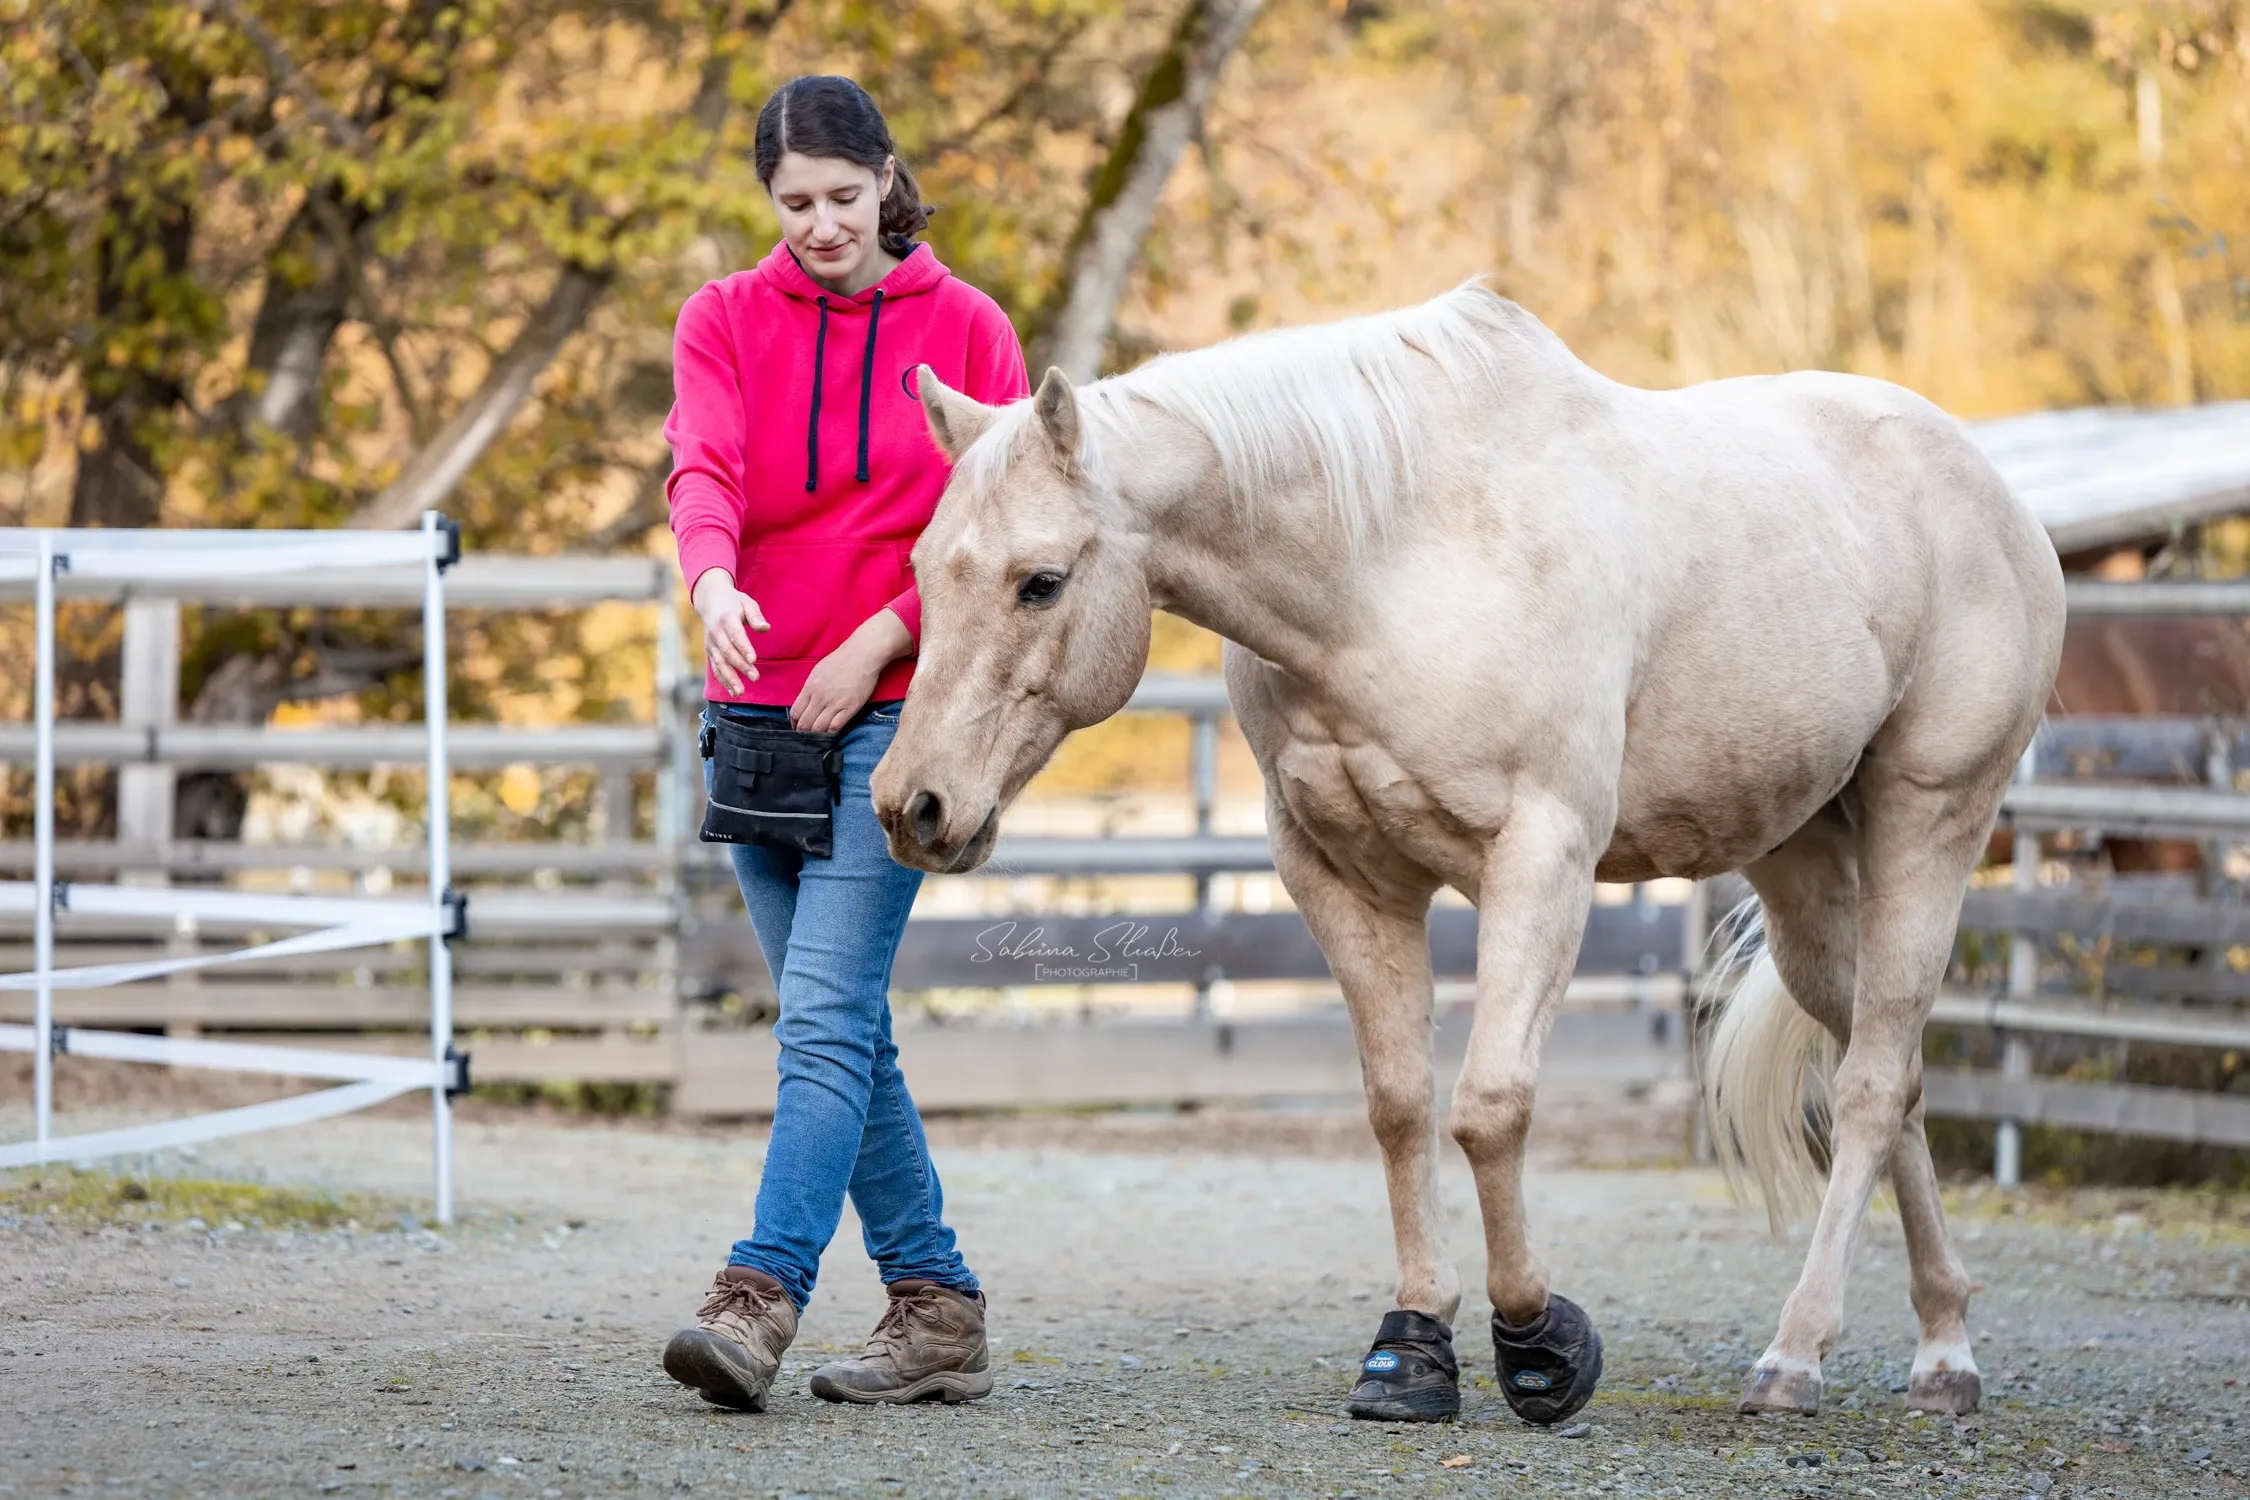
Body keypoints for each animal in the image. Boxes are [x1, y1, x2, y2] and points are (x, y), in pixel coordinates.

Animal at [870, 282, 2064, 1425]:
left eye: (1041, 581)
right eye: (924, 570)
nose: (912, 805)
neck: (1392, 563)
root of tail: (1991, 492)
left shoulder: (1540, 858)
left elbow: (1490, 1109)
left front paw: (1540, 1346)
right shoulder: (1343, 878)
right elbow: (1401, 1107)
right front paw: (1412, 1353)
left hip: (1929, 824)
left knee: (1870, 1084)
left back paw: (1806, 1358)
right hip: (1802, 861)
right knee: (1893, 1073)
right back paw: (1942, 1344)